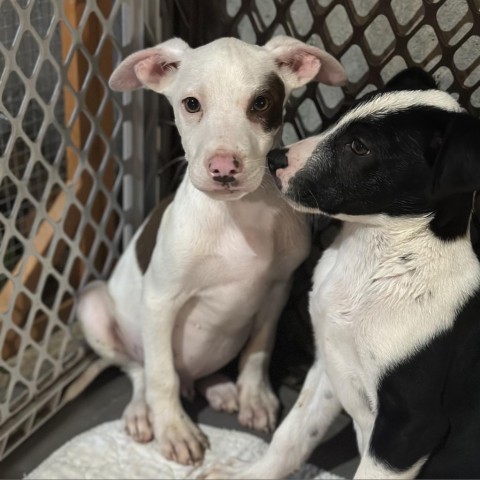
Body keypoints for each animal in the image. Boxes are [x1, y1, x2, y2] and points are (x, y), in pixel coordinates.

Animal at [205, 69, 480, 478]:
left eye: (360, 147)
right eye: (344, 113)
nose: (275, 158)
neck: (373, 265)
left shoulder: (410, 425)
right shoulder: (328, 363)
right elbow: (292, 435)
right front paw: (250, 474)